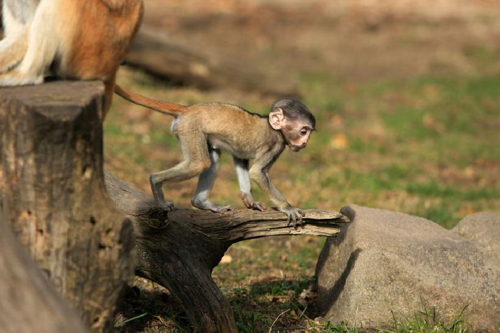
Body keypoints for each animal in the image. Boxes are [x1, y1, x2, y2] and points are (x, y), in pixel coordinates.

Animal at [115, 85, 314, 226]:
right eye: (303, 131)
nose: (305, 143)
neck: (273, 127)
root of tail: (188, 109)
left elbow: (240, 159)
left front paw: (248, 198)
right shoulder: (275, 144)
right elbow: (257, 173)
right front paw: (287, 207)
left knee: (212, 160)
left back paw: (201, 202)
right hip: (190, 128)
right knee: (200, 163)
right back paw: (156, 181)